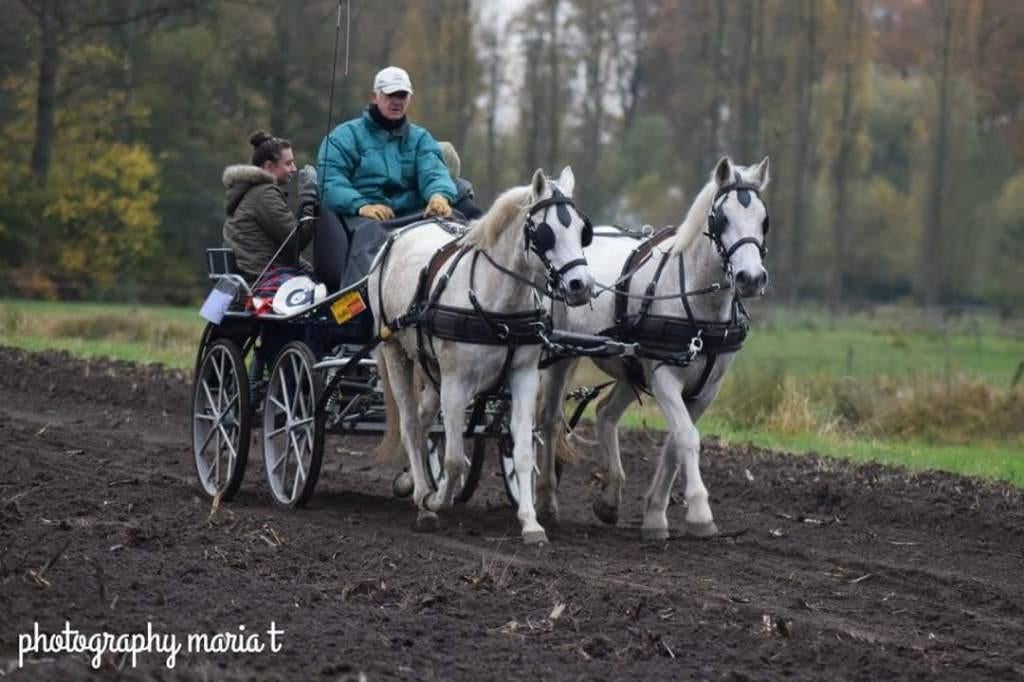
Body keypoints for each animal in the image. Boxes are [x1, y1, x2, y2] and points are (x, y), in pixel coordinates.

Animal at [370, 167, 596, 544]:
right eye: (545, 233)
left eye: (583, 230)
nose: (582, 286)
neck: (497, 302)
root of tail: (398, 235)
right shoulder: (456, 383)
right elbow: (454, 459)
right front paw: (437, 499)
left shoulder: (523, 377)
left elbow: (522, 451)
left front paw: (531, 523)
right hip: (395, 351)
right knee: (410, 423)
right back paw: (422, 496)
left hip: (431, 368)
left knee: (423, 418)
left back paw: (413, 483)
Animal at [535, 156, 770, 539]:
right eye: (722, 219)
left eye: (764, 220)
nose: (751, 278)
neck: (698, 303)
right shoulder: (664, 378)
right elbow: (687, 437)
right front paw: (700, 513)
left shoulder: (707, 389)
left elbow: (675, 444)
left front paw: (655, 515)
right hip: (560, 356)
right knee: (550, 420)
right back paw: (546, 502)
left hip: (630, 366)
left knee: (605, 413)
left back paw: (610, 498)